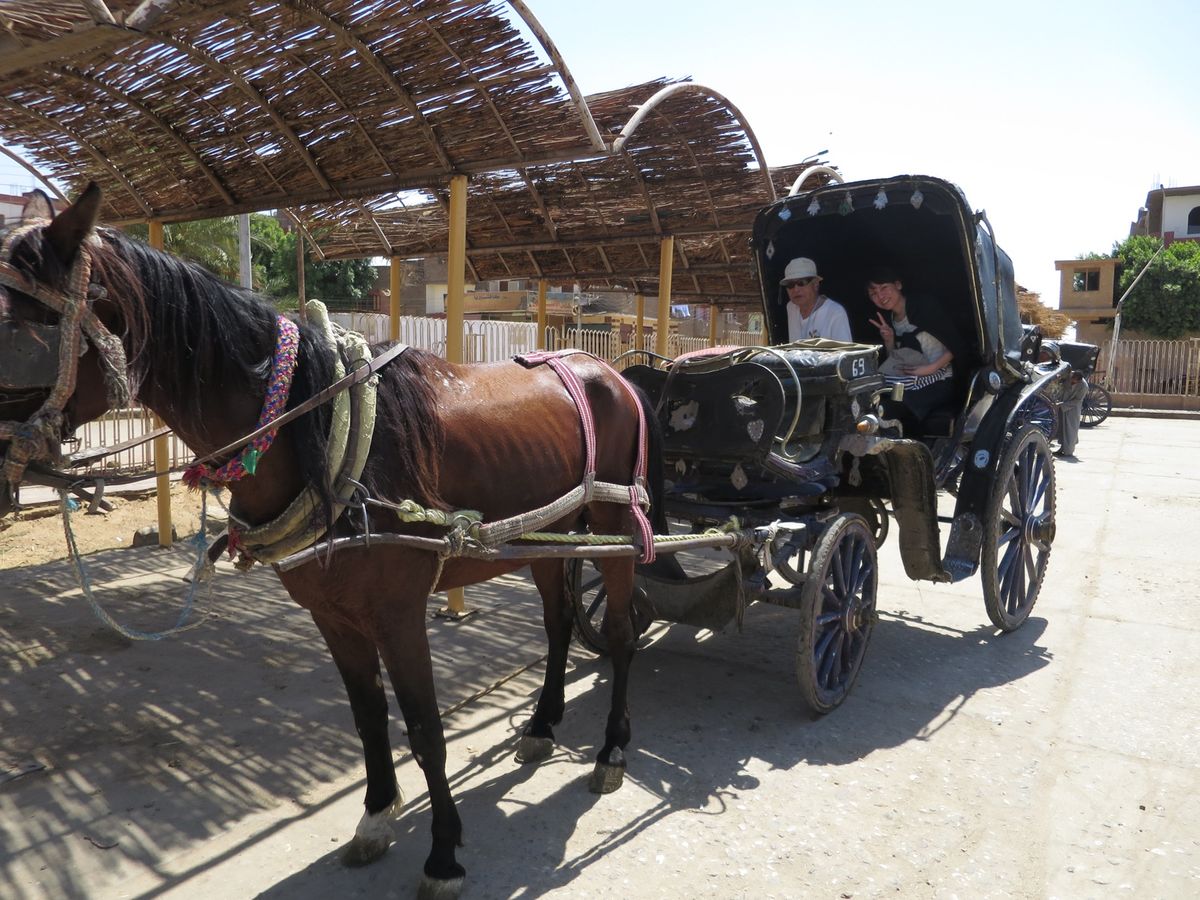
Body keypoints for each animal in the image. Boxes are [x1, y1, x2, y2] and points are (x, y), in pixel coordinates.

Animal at [0, 184, 667, 898]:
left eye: (15, 332)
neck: (316, 436)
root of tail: (611, 371)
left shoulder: (400, 614)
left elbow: (425, 729)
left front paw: (443, 854)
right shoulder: (332, 614)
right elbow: (368, 715)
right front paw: (375, 819)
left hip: (616, 531)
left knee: (620, 632)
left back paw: (612, 749)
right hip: (550, 537)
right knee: (559, 621)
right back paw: (542, 727)